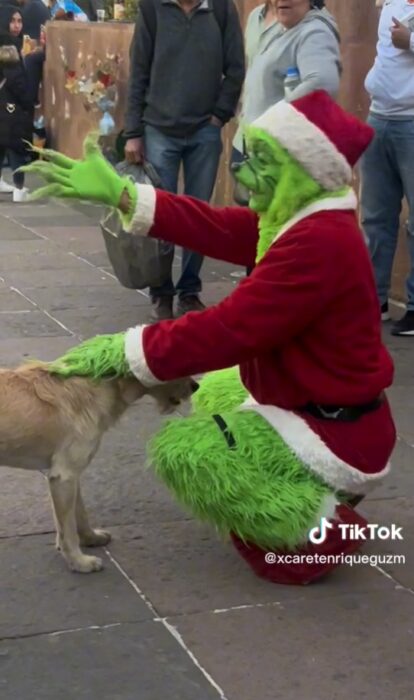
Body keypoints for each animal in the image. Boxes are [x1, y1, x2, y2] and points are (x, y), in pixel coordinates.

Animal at [0, 364, 197, 572]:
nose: (196, 386)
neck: (100, 388)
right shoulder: (64, 476)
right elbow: (67, 528)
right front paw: (78, 561)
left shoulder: (71, 475)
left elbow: (80, 513)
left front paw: (90, 538)